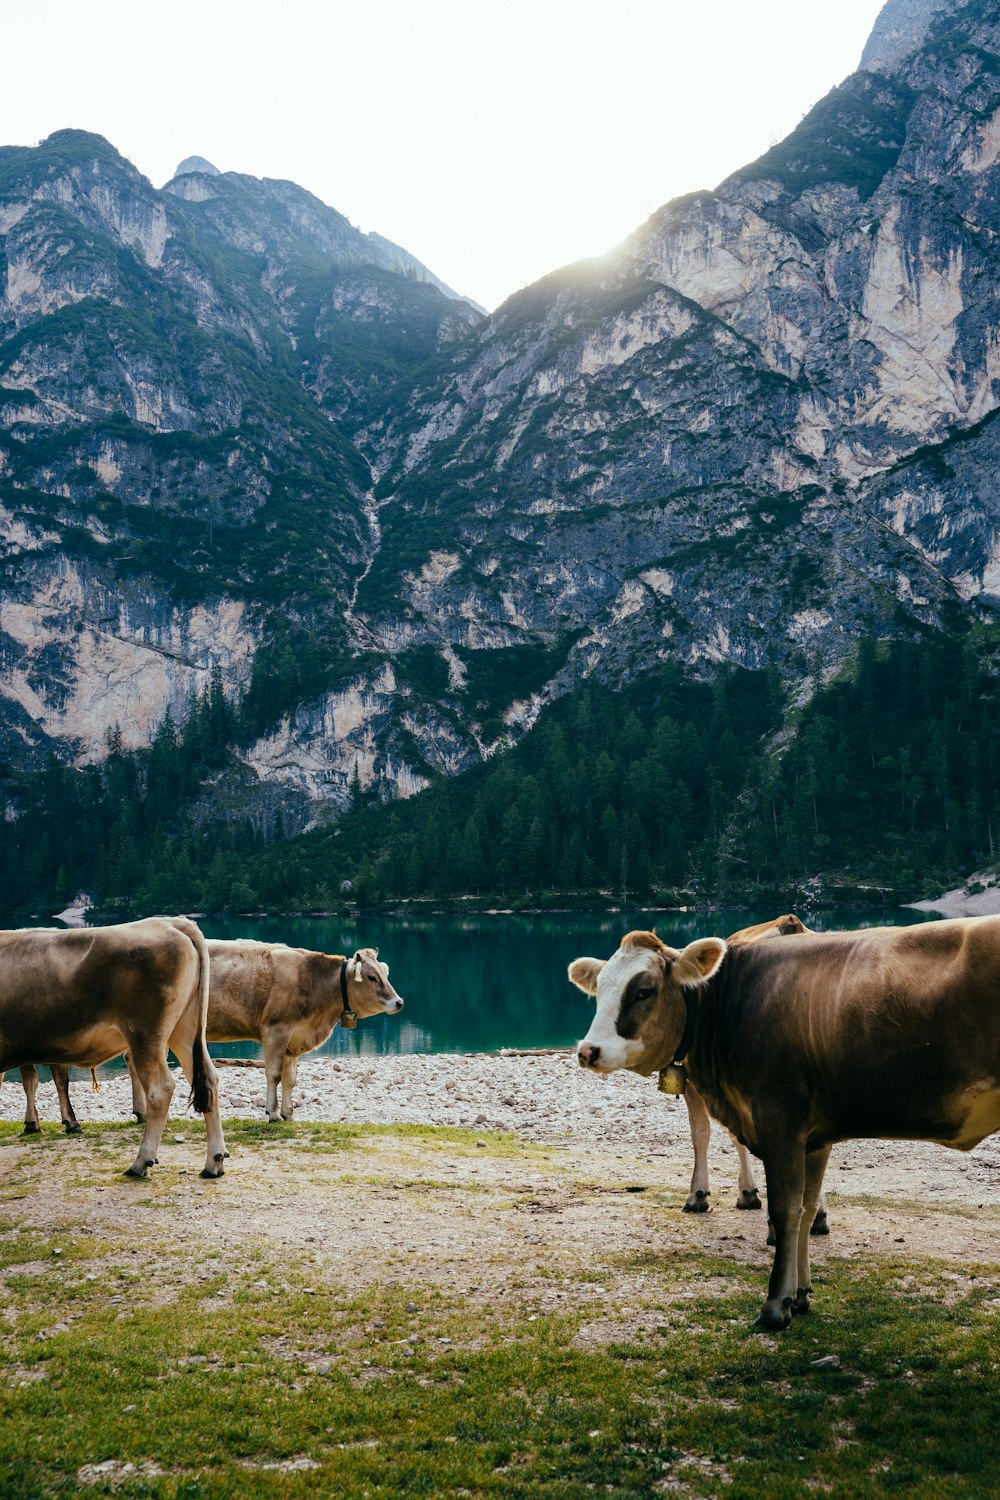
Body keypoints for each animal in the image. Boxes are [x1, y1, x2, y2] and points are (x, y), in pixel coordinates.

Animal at [0, 918, 226, 1176]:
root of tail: (171, 922)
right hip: (184, 1031)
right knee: (208, 1079)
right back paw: (214, 1163)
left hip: (145, 1034)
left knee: (160, 1090)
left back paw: (141, 1162)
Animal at [127, 936, 404, 1128]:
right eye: (371, 977)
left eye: (385, 973)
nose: (399, 1002)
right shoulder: (276, 1030)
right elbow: (274, 1074)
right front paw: (272, 1113)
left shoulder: (295, 1039)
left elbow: (291, 1078)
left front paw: (289, 1113)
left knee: (132, 1060)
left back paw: (141, 1112)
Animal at [569, 912, 1000, 1326]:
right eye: (599, 990)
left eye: (644, 991)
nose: (588, 1050)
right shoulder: (815, 1136)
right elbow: (806, 1209)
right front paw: (802, 1293)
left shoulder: (778, 1121)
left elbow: (782, 1205)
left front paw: (776, 1304)